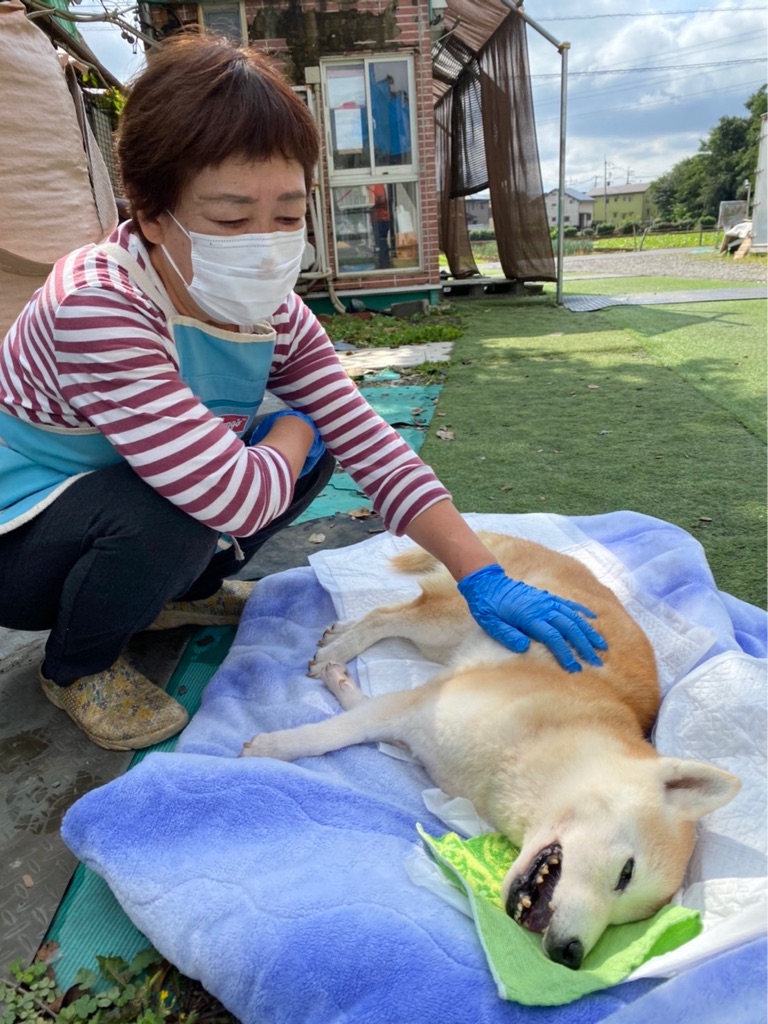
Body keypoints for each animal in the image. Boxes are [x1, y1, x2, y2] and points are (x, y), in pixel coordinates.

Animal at [241, 532, 741, 969]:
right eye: (626, 874)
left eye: (631, 919)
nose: (572, 957)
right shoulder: (418, 707)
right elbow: (327, 735)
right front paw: (271, 746)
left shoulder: (410, 715)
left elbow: (355, 709)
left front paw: (338, 681)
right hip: (452, 621)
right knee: (388, 615)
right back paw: (341, 646)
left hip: (437, 642)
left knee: (390, 614)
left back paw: (338, 637)